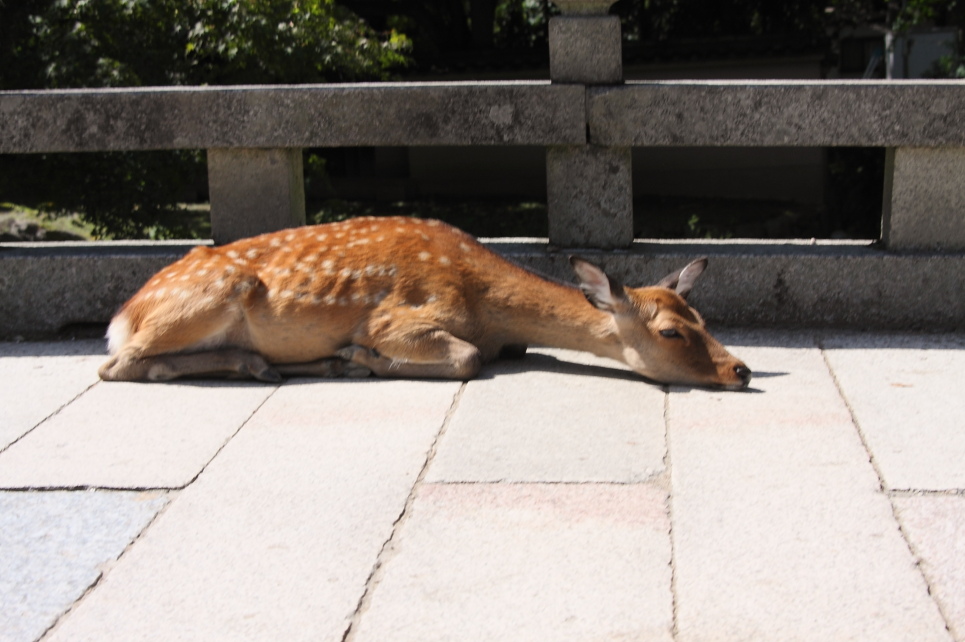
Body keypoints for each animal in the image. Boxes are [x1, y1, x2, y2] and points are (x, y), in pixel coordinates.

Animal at [98, 216, 751, 389]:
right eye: (670, 332)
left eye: (702, 318)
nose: (740, 370)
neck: (485, 307)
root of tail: (122, 314)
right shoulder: (401, 316)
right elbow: (465, 358)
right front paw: (359, 357)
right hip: (208, 297)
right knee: (117, 365)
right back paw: (265, 363)